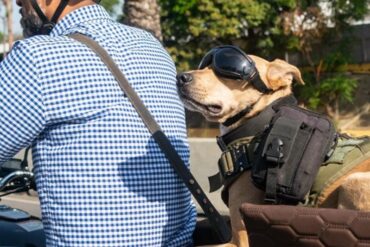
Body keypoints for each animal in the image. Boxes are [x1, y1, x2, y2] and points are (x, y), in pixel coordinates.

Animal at [176, 45, 370, 245]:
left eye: (228, 71)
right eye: (204, 66)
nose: (181, 77)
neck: (258, 122)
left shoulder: (240, 240)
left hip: (353, 183)